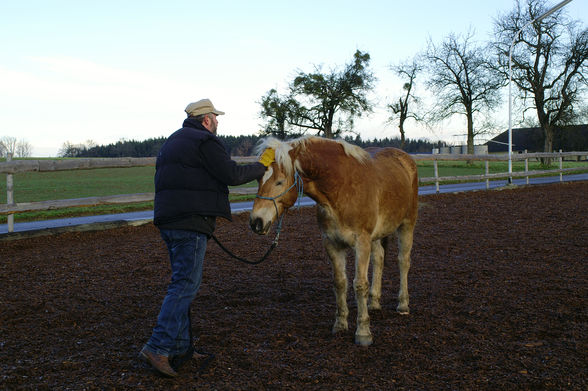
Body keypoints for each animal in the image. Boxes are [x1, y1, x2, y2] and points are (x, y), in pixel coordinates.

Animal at [248, 136, 418, 346]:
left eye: (279, 181)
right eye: (259, 179)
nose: (256, 222)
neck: (341, 188)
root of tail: (404, 159)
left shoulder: (362, 243)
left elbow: (359, 284)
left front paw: (363, 333)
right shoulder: (332, 244)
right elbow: (340, 283)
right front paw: (340, 324)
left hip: (407, 224)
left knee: (403, 262)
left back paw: (403, 304)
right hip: (377, 236)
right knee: (379, 260)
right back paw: (374, 303)